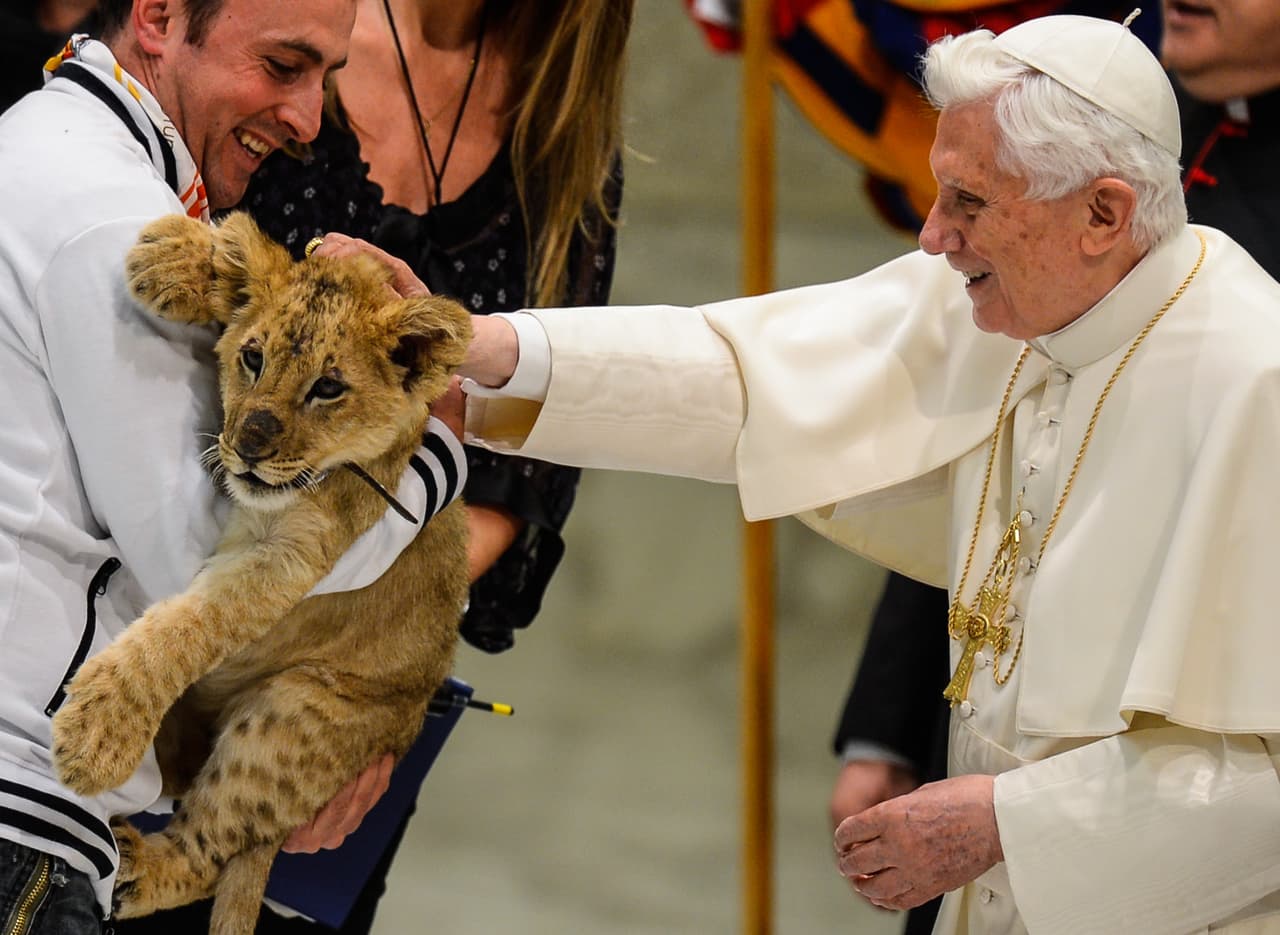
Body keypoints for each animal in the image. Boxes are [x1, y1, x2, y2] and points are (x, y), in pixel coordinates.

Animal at [49, 212, 472, 934]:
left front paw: (99, 731)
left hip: (290, 711)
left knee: (209, 851)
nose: (246, 446)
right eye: (253, 358)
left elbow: (189, 629)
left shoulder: (296, 557)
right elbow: (268, 258)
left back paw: (133, 868)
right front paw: (184, 255)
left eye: (328, 387)